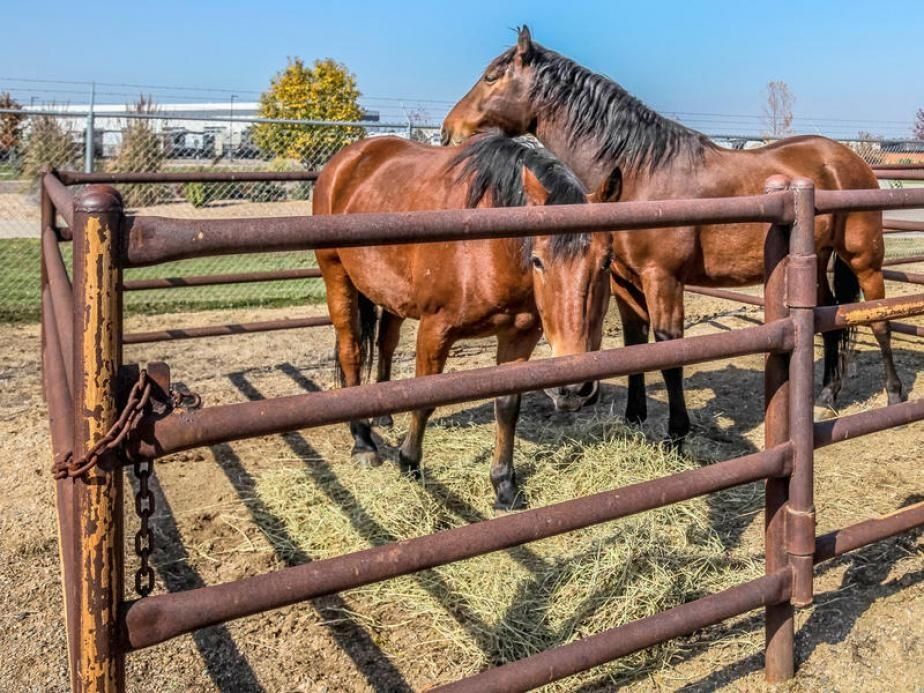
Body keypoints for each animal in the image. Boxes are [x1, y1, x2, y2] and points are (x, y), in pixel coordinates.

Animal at [313, 132, 617, 509]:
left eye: (607, 261)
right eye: (538, 260)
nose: (573, 387)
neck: (488, 246)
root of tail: (350, 156)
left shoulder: (520, 336)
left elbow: (507, 406)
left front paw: (504, 487)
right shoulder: (435, 330)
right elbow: (425, 399)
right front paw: (408, 462)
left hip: (391, 294)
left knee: (386, 342)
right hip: (337, 276)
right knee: (351, 350)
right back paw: (363, 442)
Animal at [441, 25, 905, 447]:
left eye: (491, 77)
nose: (448, 131)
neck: (640, 173)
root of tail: (847, 158)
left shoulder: (662, 279)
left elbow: (669, 350)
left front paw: (677, 432)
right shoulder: (623, 281)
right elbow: (635, 344)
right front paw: (634, 416)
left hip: (864, 259)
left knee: (879, 318)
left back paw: (894, 395)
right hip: (819, 259)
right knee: (830, 318)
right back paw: (826, 398)